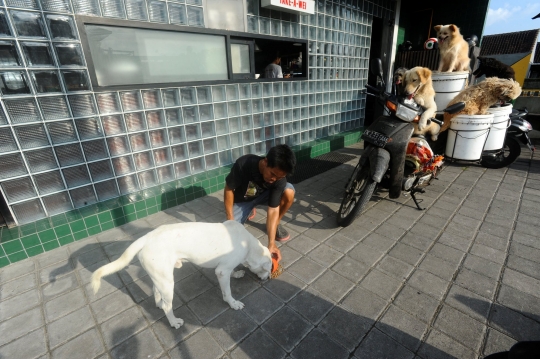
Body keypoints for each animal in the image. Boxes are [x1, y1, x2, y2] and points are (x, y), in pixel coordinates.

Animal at [91, 219, 274, 330]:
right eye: (269, 269)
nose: (269, 279)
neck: (248, 244)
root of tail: (147, 237)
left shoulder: (226, 268)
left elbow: (233, 272)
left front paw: (237, 274)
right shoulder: (221, 272)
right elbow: (227, 292)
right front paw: (233, 303)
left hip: (160, 277)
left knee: (156, 292)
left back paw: (159, 304)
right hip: (168, 283)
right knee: (168, 306)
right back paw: (173, 322)